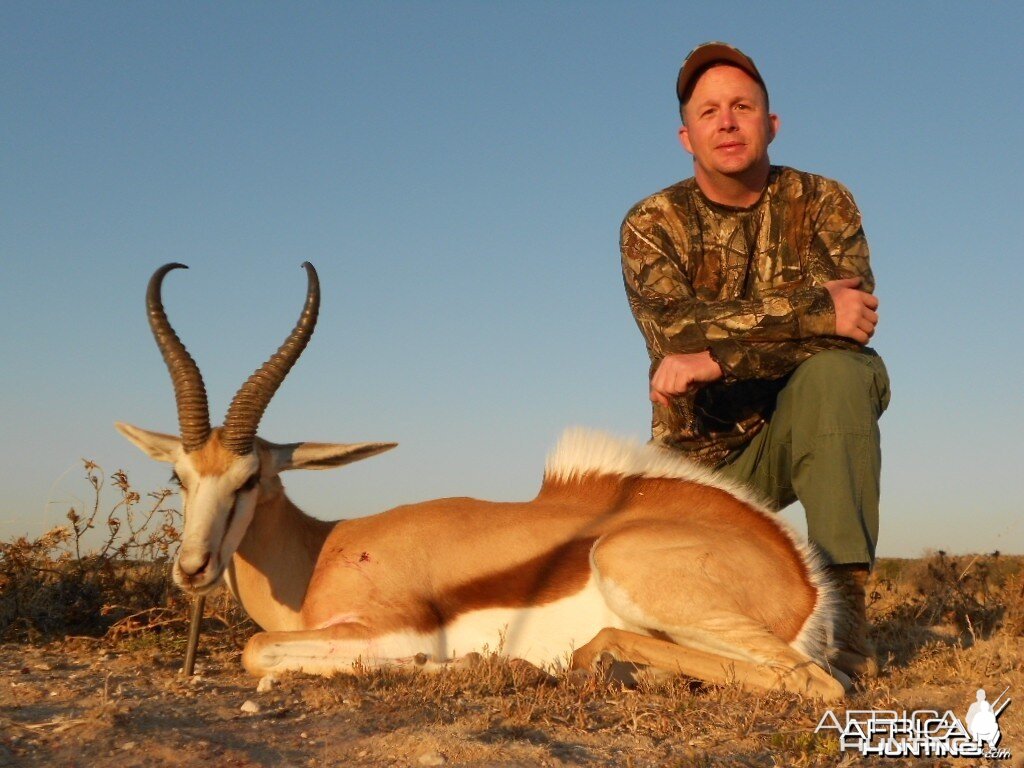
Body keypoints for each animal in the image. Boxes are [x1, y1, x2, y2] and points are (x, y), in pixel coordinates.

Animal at [117, 264, 847, 704]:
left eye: (250, 479)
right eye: (179, 476)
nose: (192, 568)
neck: (320, 555)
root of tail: (802, 579)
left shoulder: (391, 629)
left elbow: (256, 649)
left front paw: (467, 666)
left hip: (627, 566)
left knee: (819, 684)